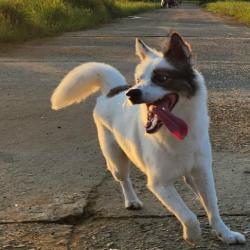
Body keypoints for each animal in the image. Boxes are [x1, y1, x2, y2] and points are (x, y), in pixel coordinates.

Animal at [50, 31, 246, 244]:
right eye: (138, 79)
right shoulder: (159, 184)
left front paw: (225, 233)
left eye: (162, 78)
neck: (176, 134)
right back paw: (131, 200)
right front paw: (192, 234)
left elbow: (213, 208)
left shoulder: (202, 173)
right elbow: (188, 216)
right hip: (117, 160)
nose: (131, 93)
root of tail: (113, 89)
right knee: (123, 179)